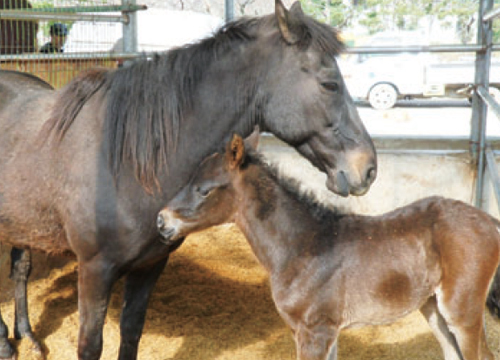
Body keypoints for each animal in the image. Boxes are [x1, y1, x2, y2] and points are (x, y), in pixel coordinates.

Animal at [0, 1, 376, 358]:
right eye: (329, 84)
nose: (368, 167)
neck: (127, 161)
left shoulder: (150, 265)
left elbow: (130, 333)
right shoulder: (94, 270)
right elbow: (90, 346)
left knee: (20, 269)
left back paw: (27, 336)